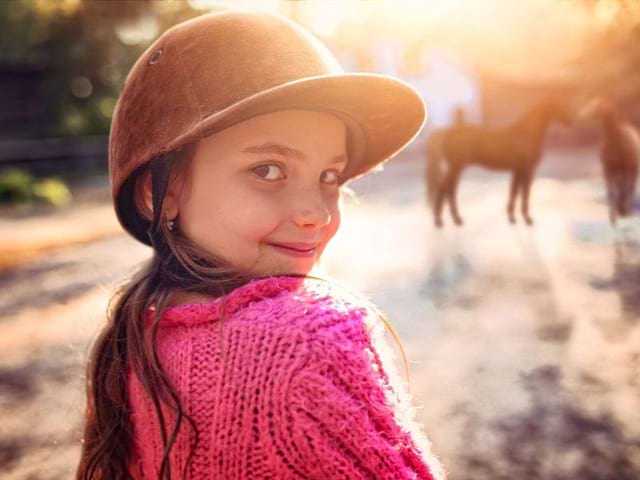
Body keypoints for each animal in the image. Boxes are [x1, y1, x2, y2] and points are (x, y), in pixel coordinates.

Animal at [424, 99, 568, 227]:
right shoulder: (527, 170)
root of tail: (448, 131)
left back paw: (451, 219)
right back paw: (445, 220)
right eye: (559, 105)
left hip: (456, 168)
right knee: (446, 189)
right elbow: (524, 193)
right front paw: (527, 219)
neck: (525, 134)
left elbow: (515, 191)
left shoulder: (518, 169)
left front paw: (512, 217)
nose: (570, 120)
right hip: (456, 167)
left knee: (448, 189)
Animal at [584, 98, 636, 227]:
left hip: (632, 169)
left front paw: (620, 213)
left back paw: (626, 209)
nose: (583, 115)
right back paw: (621, 209)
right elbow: (611, 192)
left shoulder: (625, 168)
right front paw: (613, 218)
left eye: (597, 106)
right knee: (621, 188)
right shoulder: (608, 169)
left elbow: (623, 190)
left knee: (630, 187)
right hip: (619, 171)